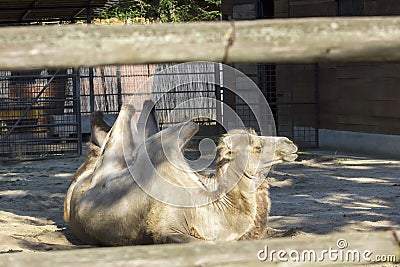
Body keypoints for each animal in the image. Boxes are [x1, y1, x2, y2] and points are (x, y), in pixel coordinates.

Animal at [65, 103, 296, 246]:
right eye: (257, 146)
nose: (289, 143)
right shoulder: (166, 230)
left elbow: (292, 232)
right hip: (104, 166)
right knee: (126, 114)